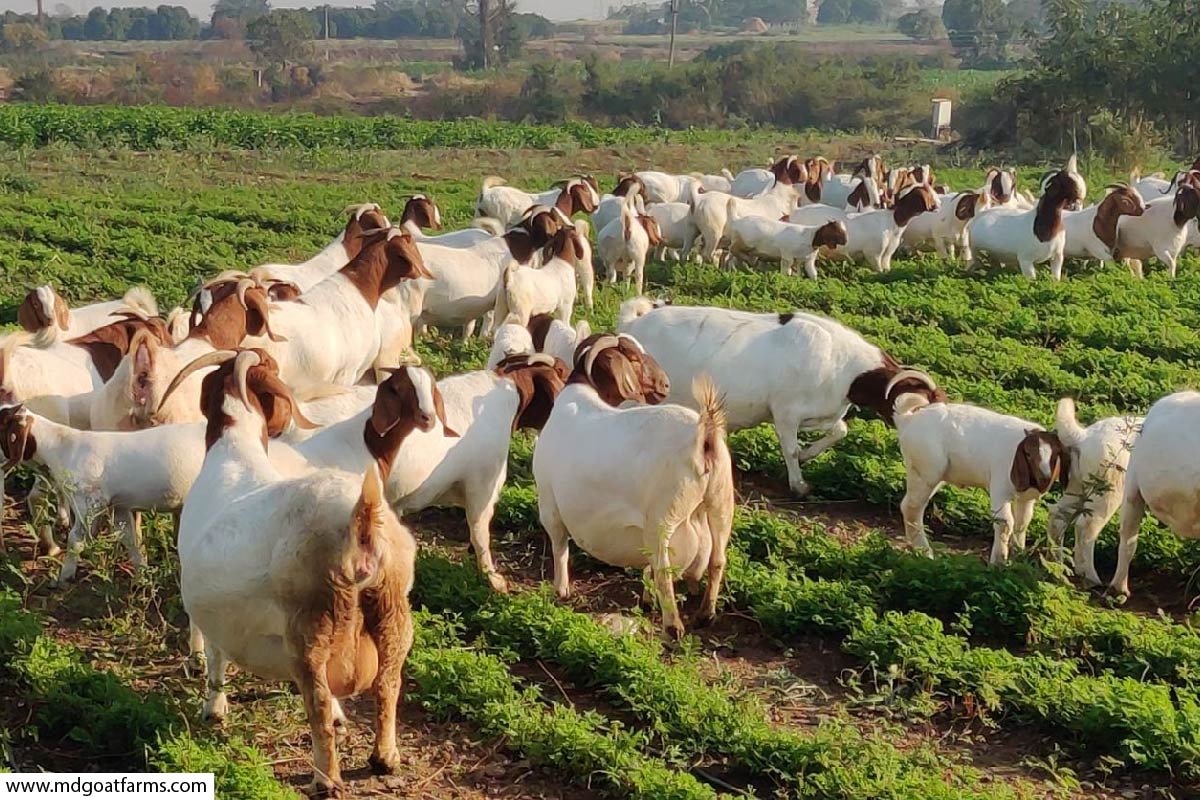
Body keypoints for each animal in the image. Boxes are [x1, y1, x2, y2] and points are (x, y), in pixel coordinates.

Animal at [533, 335, 734, 639]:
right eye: (635, 359)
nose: (665, 385)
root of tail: (704, 435)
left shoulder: (549, 504)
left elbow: (560, 546)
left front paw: (562, 591)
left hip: (662, 517)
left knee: (663, 569)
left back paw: (673, 626)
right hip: (720, 501)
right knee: (717, 558)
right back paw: (705, 615)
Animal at [618, 299, 943, 496]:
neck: (843, 363)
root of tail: (633, 324)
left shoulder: (820, 411)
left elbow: (839, 429)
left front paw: (809, 453)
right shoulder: (786, 411)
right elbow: (789, 449)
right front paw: (799, 485)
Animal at [891, 370, 1068, 564]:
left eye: (1056, 454)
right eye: (1028, 453)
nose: (1045, 477)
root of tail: (907, 419)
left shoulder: (1026, 498)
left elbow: (1022, 523)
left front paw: (1018, 557)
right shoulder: (999, 487)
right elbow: (1005, 522)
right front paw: (998, 562)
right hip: (925, 472)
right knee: (912, 507)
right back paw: (924, 553)